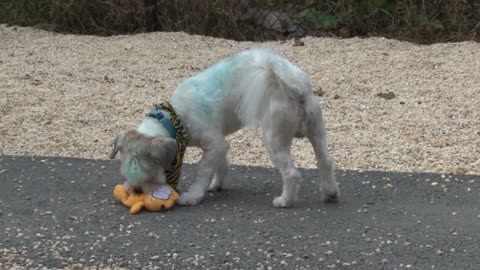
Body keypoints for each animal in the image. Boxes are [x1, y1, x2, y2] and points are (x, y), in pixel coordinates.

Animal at [110, 47, 340, 207]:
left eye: (150, 178)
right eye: (127, 176)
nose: (136, 190)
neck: (174, 117)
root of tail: (294, 86)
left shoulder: (214, 143)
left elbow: (203, 170)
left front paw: (193, 196)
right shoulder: (218, 145)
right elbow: (220, 164)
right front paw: (217, 185)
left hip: (275, 137)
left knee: (291, 173)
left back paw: (285, 201)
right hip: (316, 127)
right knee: (325, 161)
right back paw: (330, 193)